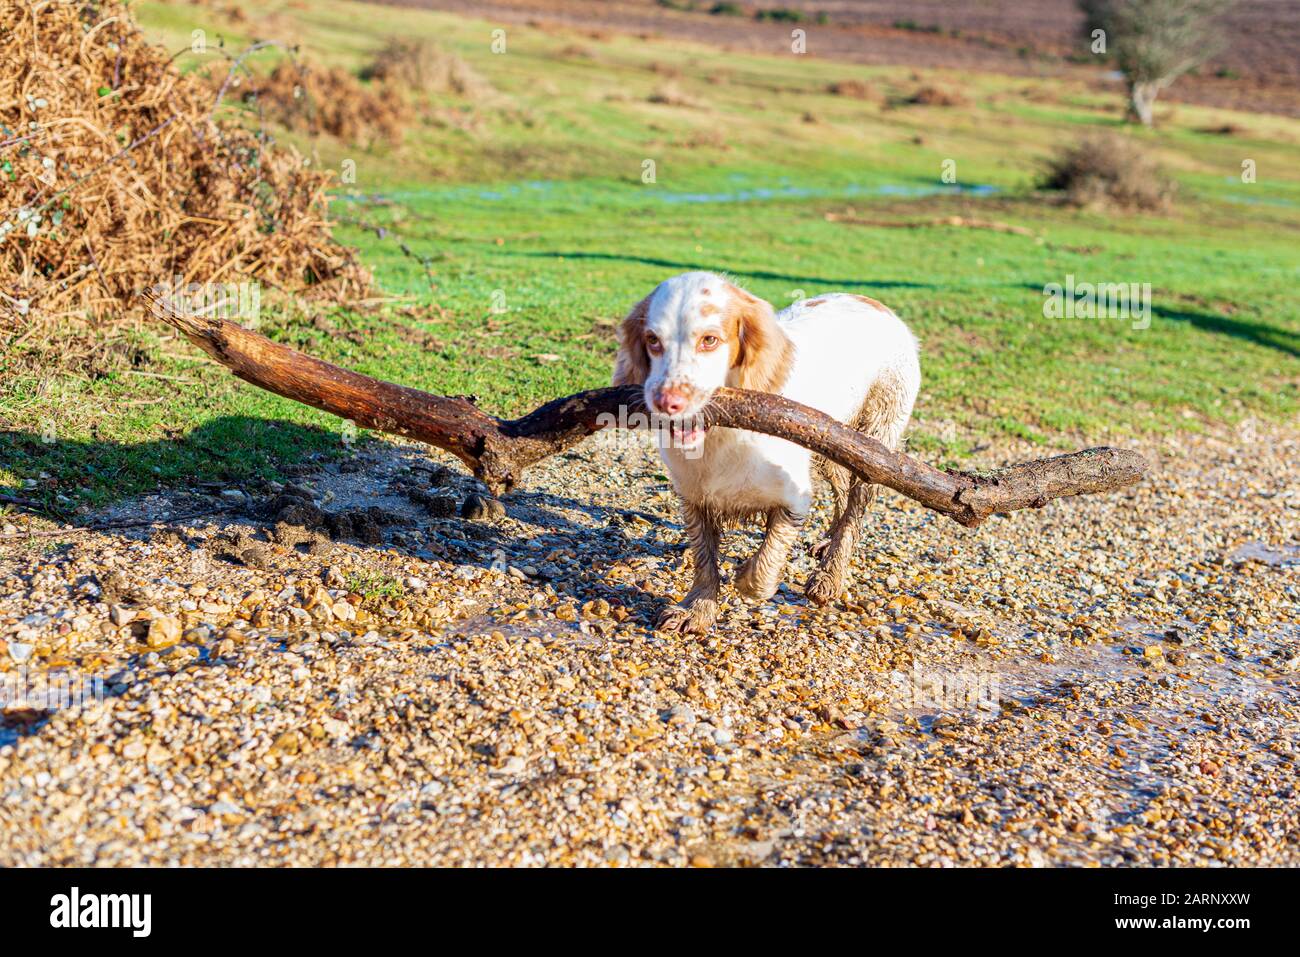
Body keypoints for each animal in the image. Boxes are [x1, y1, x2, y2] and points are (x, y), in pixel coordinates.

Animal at [613, 269, 920, 631]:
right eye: (652, 340)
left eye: (709, 340)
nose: (667, 401)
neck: (722, 436)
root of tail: (877, 303)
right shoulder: (694, 498)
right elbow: (704, 561)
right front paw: (697, 609)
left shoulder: (794, 499)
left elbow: (762, 569)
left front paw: (743, 577)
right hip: (830, 444)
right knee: (842, 489)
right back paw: (827, 541)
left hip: (874, 444)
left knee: (854, 512)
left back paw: (829, 576)